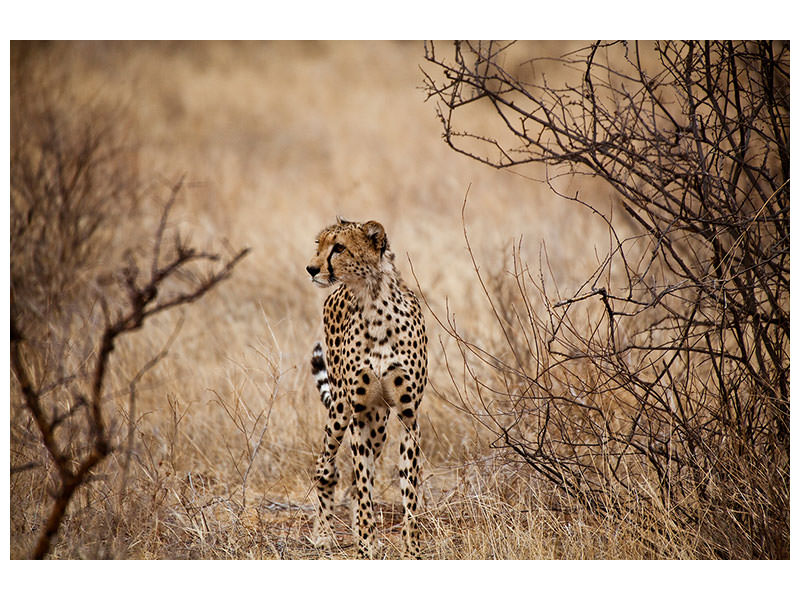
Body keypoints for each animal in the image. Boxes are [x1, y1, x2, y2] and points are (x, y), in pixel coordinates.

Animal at [306, 218, 428, 559]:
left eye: (339, 247)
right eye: (319, 245)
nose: (311, 268)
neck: (373, 303)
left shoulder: (408, 415)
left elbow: (409, 489)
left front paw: (412, 549)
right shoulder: (358, 415)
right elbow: (363, 486)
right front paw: (364, 547)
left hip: (379, 425)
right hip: (341, 410)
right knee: (327, 467)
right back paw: (323, 534)